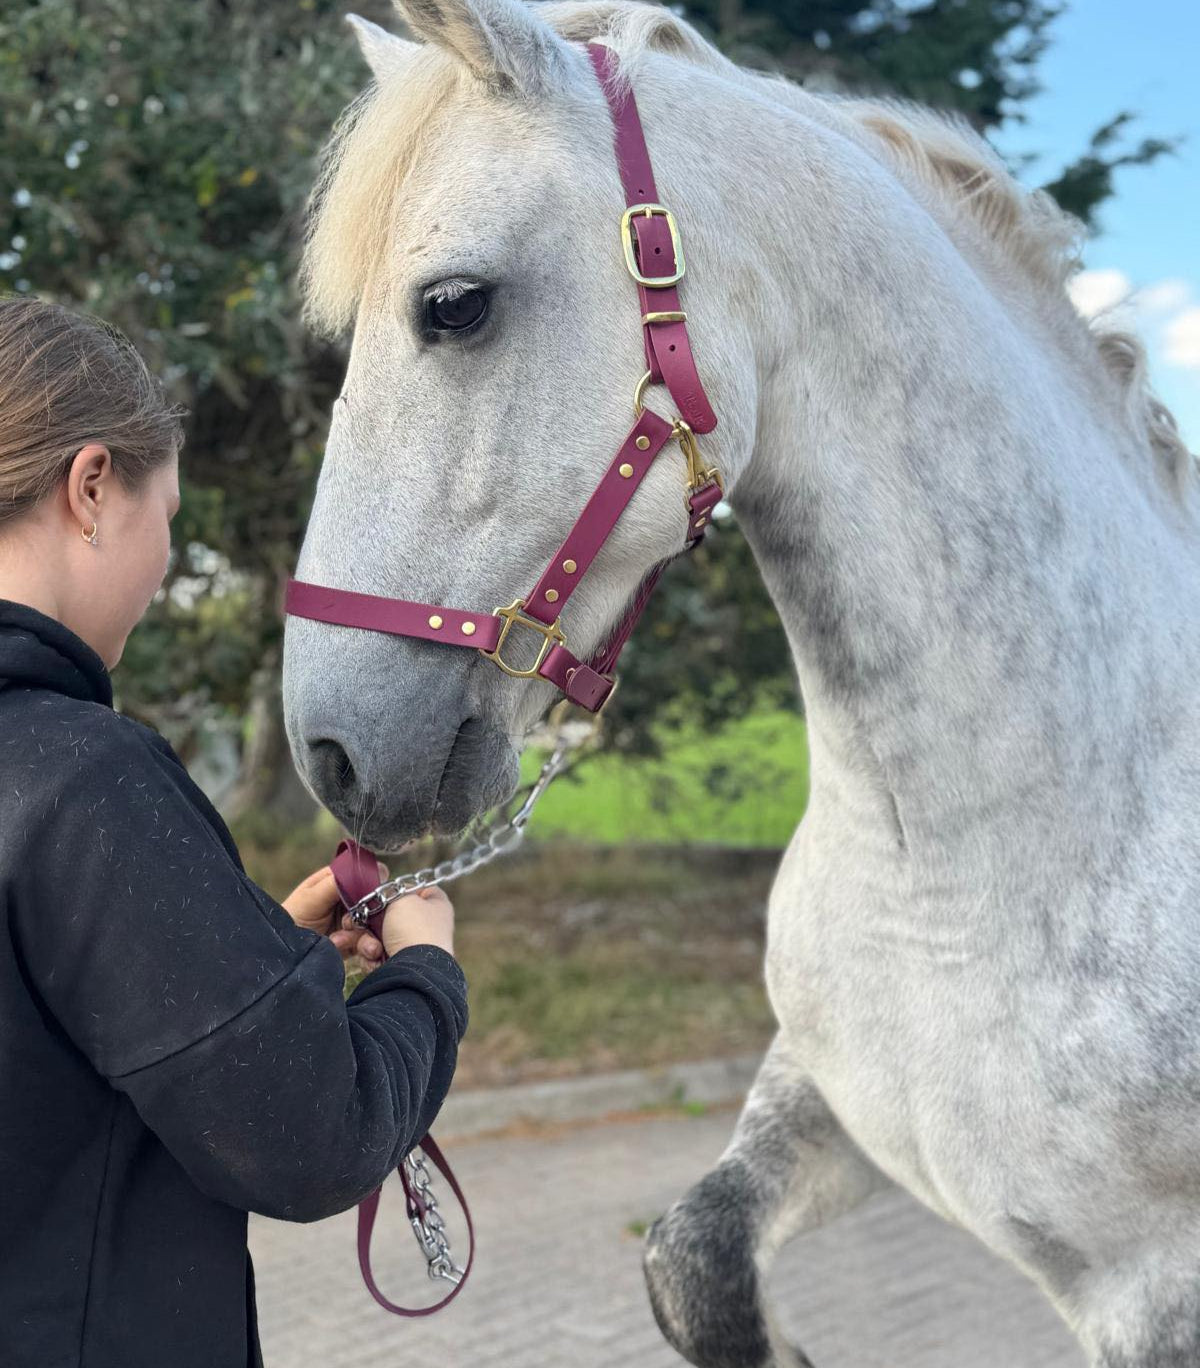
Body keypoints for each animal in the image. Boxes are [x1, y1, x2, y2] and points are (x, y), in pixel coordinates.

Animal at [279, 1, 1200, 1363]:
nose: (331, 754)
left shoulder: (1152, 1288)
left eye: (452, 305)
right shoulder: (826, 1102)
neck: (960, 878)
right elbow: (689, 1261)